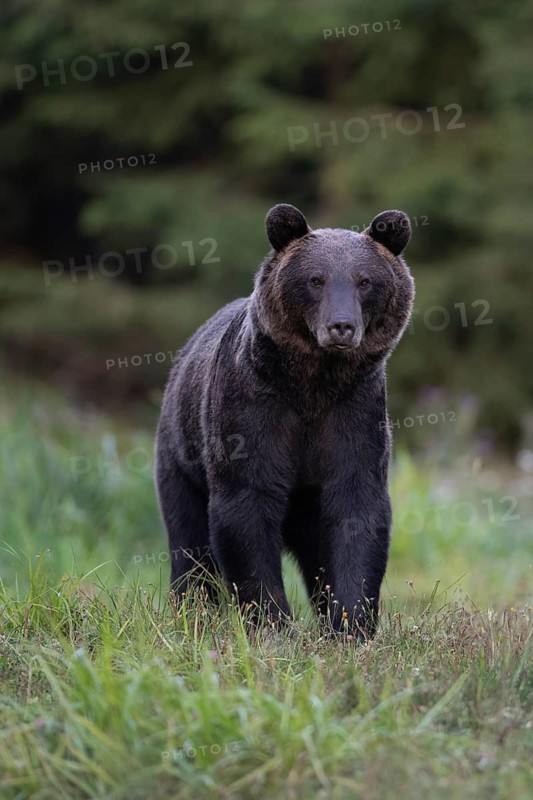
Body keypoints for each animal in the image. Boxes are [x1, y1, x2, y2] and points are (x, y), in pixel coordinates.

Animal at [155, 204, 414, 639]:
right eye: (316, 279)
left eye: (365, 281)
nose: (341, 326)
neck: (312, 384)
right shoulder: (254, 410)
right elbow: (246, 505)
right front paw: (272, 622)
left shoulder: (355, 413)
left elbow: (357, 509)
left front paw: (350, 624)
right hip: (181, 454)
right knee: (188, 539)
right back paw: (192, 610)